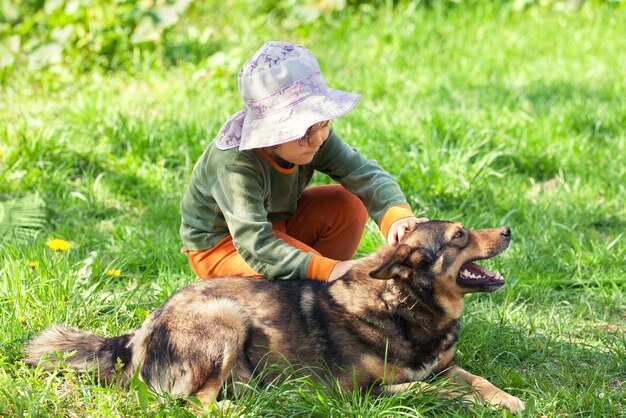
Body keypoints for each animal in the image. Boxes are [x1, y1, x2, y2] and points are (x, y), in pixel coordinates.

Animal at [23, 220, 520, 414]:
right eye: (460, 235)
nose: (508, 230)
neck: (405, 303)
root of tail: (137, 335)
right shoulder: (360, 394)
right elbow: (430, 390)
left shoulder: (446, 365)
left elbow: (474, 380)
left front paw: (507, 399)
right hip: (226, 318)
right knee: (195, 403)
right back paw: (244, 407)